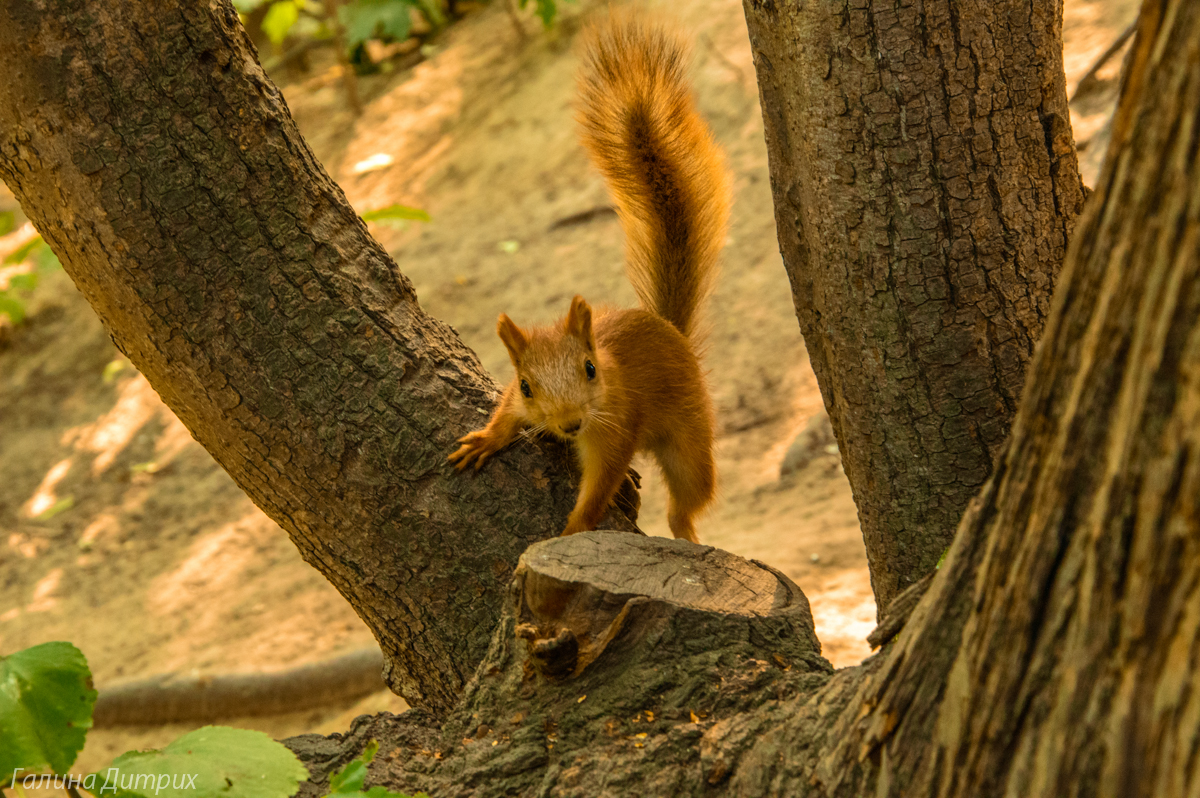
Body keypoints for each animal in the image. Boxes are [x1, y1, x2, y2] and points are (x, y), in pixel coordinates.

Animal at [451, 15, 729, 544]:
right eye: (526, 385)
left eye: (590, 369)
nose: (570, 424)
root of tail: (671, 329)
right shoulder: (520, 401)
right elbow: (505, 415)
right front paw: (485, 441)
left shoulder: (615, 427)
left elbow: (600, 484)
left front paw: (573, 529)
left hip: (690, 434)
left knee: (687, 497)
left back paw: (685, 533)